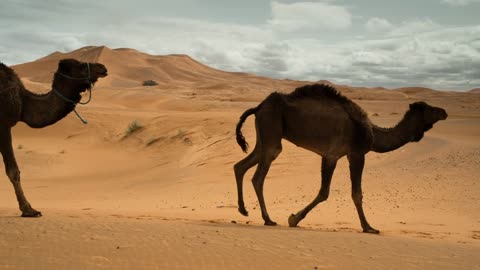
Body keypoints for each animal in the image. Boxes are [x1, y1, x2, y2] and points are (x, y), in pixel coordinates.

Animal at [0, 59, 107, 217]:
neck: (24, 101)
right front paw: (29, 210)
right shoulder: (4, 125)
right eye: (81, 66)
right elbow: (13, 171)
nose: (102, 67)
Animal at [234, 83, 448, 233]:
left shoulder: (341, 155)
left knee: (241, 166)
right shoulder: (349, 154)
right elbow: (342, 193)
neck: (372, 133)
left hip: (265, 134)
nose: (445, 111)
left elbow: (342, 192)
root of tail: (259, 107)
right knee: (258, 176)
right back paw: (268, 219)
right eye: (429, 109)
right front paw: (368, 227)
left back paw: (244, 210)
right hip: (271, 129)